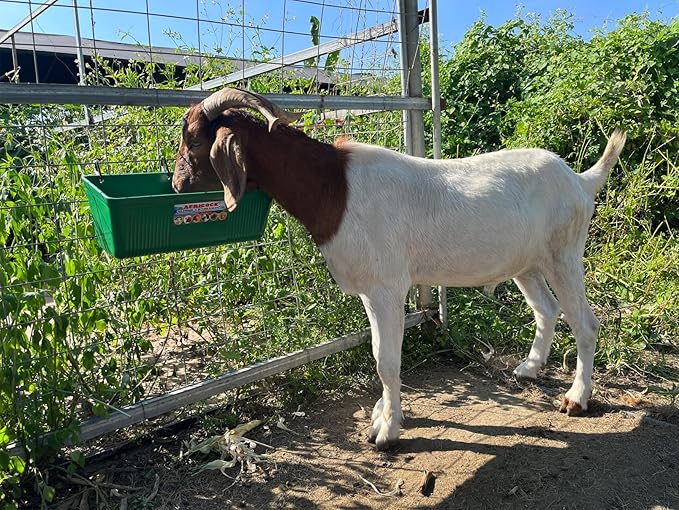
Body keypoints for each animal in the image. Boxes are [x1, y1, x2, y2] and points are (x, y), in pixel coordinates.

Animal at [173, 87, 626, 450]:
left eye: (192, 139)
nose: (176, 183)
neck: (333, 188)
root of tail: (581, 180)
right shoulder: (372, 292)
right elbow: (380, 352)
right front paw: (382, 412)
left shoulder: (385, 287)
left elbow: (385, 360)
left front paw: (387, 429)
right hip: (527, 262)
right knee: (546, 310)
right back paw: (529, 368)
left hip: (563, 253)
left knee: (585, 322)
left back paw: (577, 398)